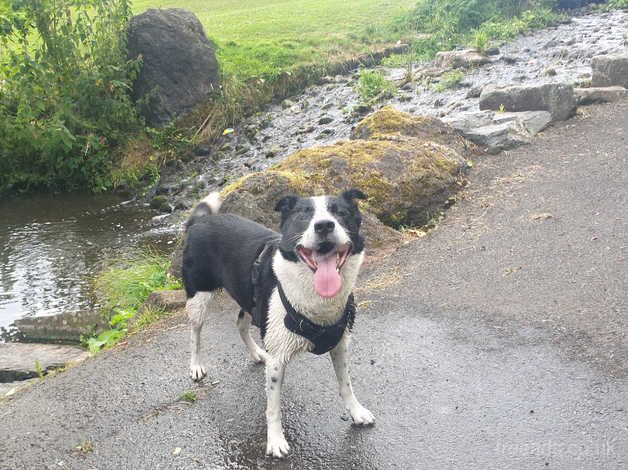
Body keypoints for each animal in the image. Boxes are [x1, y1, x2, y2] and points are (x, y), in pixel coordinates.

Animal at [183, 189, 378, 458]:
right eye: (303, 215)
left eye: (341, 212)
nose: (324, 225)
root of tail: (201, 221)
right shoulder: (278, 359)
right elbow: (273, 408)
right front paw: (275, 441)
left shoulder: (340, 344)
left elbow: (346, 384)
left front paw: (356, 412)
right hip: (199, 296)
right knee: (195, 332)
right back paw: (196, 366)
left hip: (252, 300)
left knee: (241, 323)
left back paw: (257, 353)